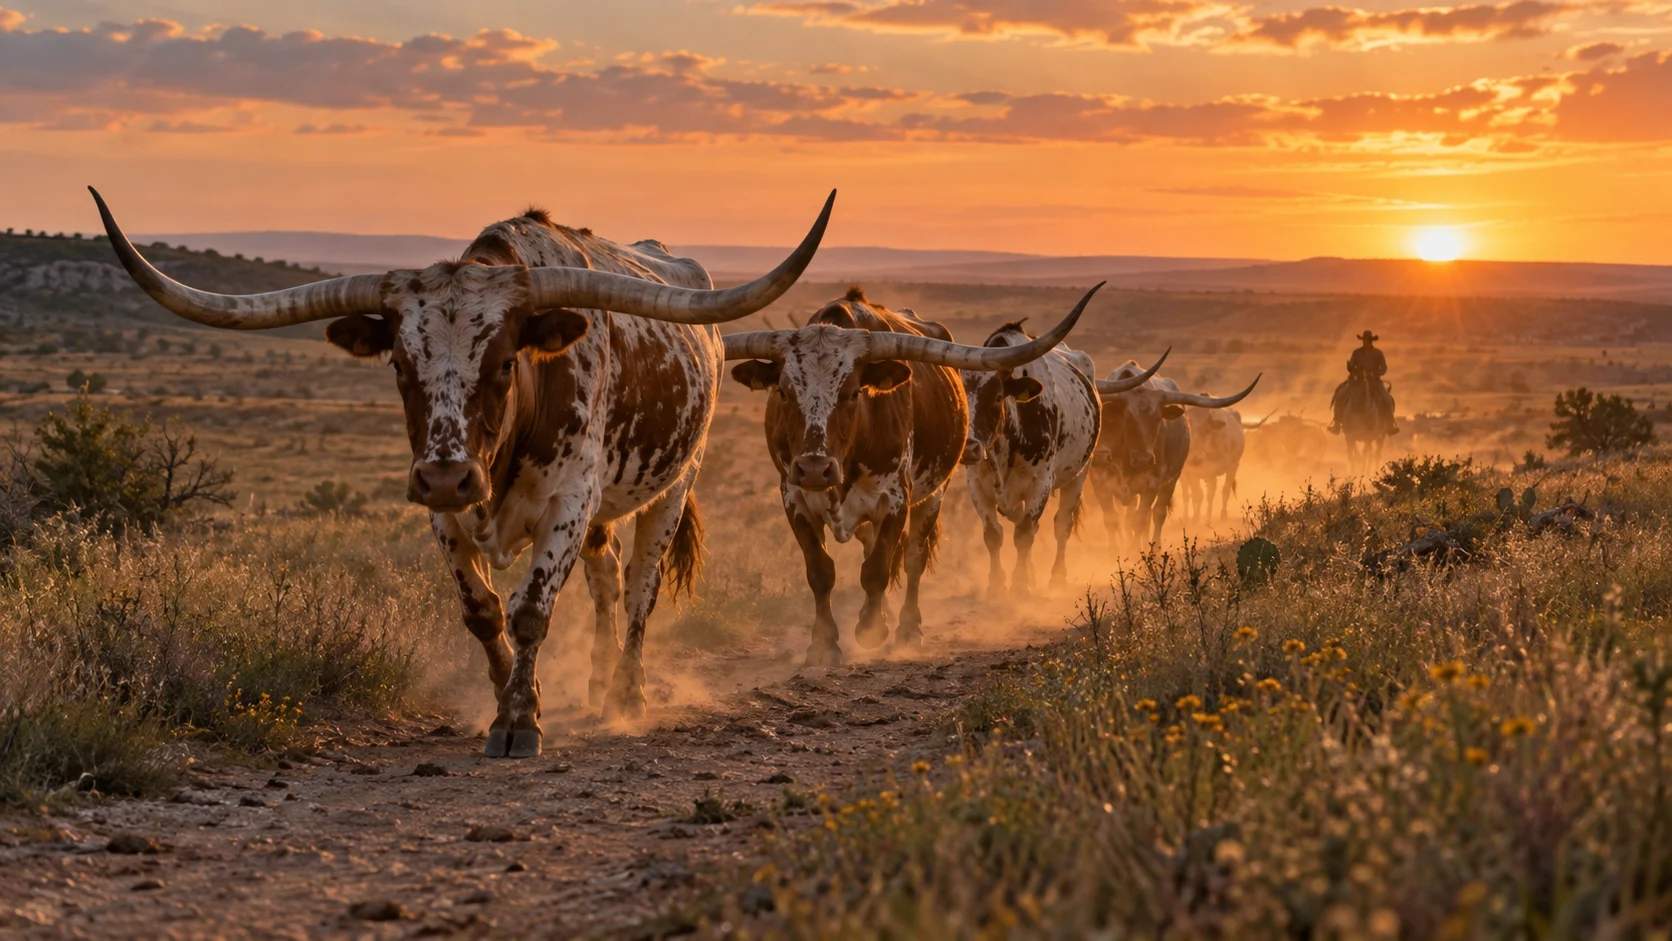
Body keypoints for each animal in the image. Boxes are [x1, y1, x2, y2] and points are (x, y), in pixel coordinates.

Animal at [90, 186, 835, 758]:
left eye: (505, 362)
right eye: (398, 364)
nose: (450, 476)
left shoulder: (568, 498)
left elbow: (531, 610)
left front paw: (520, 720)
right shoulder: (442, 508)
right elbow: (483, 612)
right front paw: (509, 694)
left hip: (674, 487)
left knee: (642, 589)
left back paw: (625, 695)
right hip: (597, 514)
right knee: (607, 582)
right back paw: (596, 685)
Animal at [725, 285, 1095, 666]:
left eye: (853, 393)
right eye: (783, 392)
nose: (814, 467)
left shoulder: (895, 499)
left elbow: (878, 569)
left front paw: (872, 630)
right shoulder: (794, 498)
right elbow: (821, 571)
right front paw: (824, 643)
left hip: (936, 495)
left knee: (914, 557)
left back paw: (905, 628)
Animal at [959, 310, 1164, 597]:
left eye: (998, 397)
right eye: (959, 398)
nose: (969, 447)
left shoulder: (1041, 483)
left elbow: (1024, 534)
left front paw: (1020, 584)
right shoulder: (977, 484)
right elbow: (993, 535)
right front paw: (997, 584)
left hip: (1079, 475)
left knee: (1061, 525)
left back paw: (1056, 577)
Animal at [1089, 364, 1259, 548]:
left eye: (1158, 419)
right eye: (1126, 418)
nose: (1144, 460)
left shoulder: (1152, 484)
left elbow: (1140, 520)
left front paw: (1135, 551)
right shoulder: (1100, 483)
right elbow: (1112, 520)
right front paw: (1116, 551)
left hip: (1174, 480)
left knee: (1157, 514)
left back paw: (1155, 547)